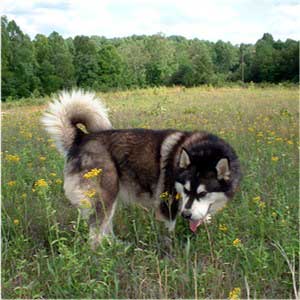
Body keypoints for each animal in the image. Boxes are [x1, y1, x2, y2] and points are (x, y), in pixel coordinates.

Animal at [42, 90, 243, 250]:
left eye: (202, 193)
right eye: (186, 190)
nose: (186, 215)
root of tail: (81, 138)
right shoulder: (166, 206)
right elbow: (168, 234)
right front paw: (170, 252)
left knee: (105, 230)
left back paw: (119, 247)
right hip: (106, 195)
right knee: (95, 235)